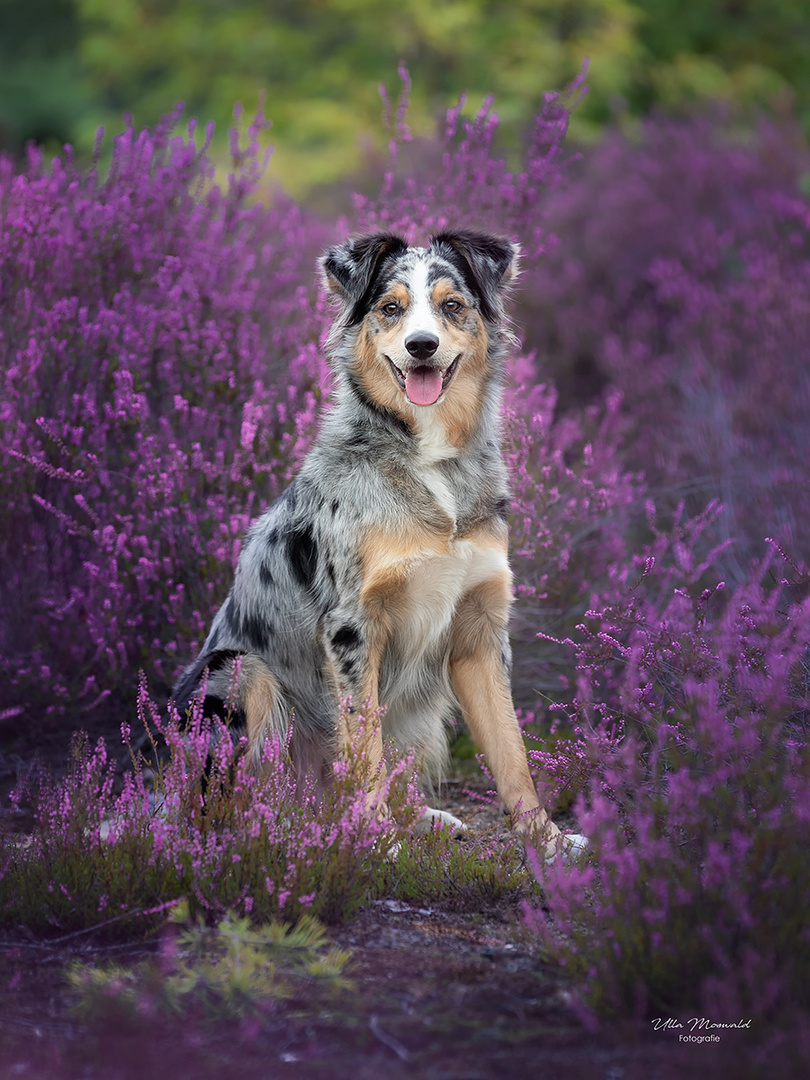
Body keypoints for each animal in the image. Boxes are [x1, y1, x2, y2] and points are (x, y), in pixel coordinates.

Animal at [174, 230, 587, 859]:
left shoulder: (480, 631)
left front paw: (549, 840)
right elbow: (362, 747)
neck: (430, 456)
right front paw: (373, 841)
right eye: (390, 308)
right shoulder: (352, 628)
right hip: (239, 671)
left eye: (451, 306)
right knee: (237, 805)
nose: (422, 346)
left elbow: (512, 753)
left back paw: (421, 819)